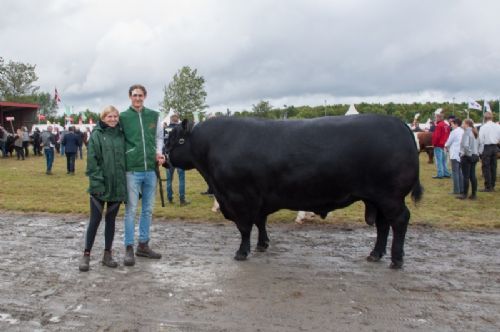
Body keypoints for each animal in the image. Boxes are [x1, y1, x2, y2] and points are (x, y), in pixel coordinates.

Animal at [166, 113, 424, 268]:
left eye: (177, 140)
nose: (163, 158)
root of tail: (398, 123)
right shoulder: (259, 197)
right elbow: (260, 222)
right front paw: (262, 244)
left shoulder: (240, 197)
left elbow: (245, 227)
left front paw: (242, 251)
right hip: (378, 199)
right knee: (383, 225)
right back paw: (376, 254)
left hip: (390, 197)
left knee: (400, 221)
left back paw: (396, 259)